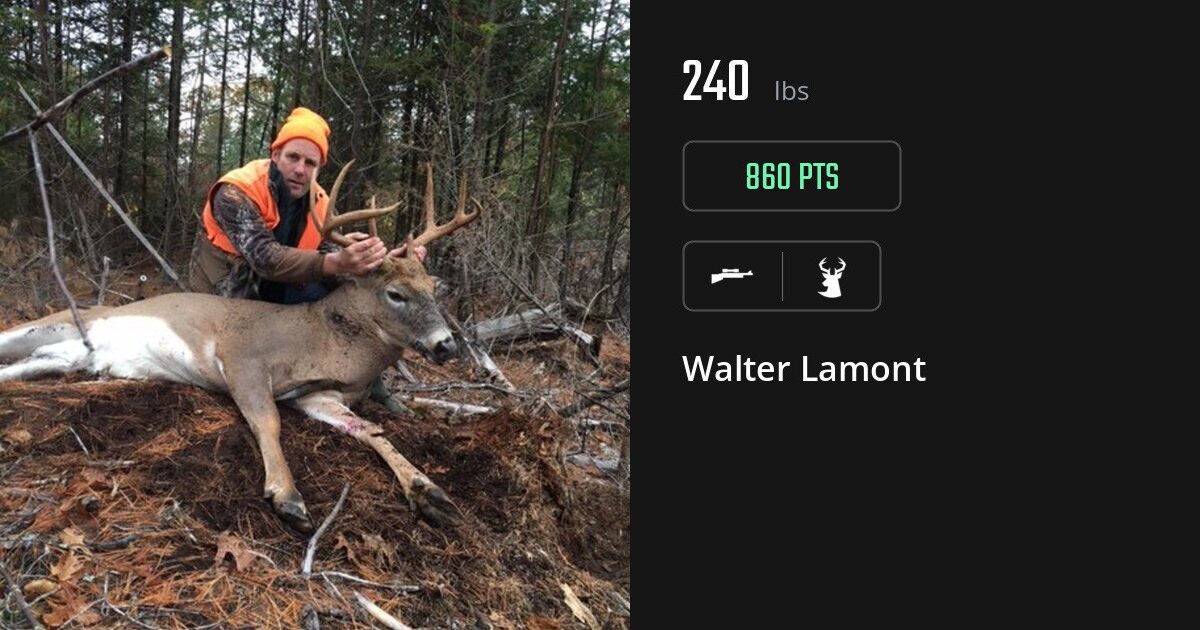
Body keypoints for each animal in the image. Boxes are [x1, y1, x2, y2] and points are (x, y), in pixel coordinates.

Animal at [0, 162, 478, 534]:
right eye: (396, 293)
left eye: (432, 288)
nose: (446, 345)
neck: (325, 342)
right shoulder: (243, 355)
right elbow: (268, 421)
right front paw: (288, 497)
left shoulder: (319, 395)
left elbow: (370, 429)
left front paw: (429, 491)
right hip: (51, 324)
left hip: (64, 358)